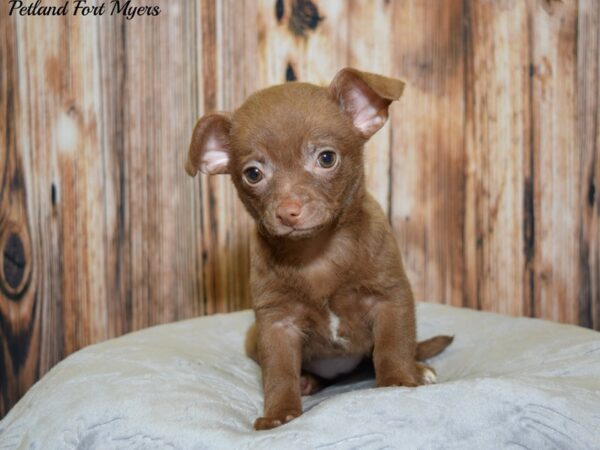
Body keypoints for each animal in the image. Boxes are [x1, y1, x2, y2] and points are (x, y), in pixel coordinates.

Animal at [185, 67, 452, 428]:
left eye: (326, 158)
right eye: (253, 174)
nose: (288, 210)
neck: (317, 253)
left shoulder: (390, 298)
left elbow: (392, 346)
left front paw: (398, 380)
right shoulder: (276, 324)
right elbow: (278, 372)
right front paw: (279, 414)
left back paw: (417, 367)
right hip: (253, 336)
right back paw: (307, 381)